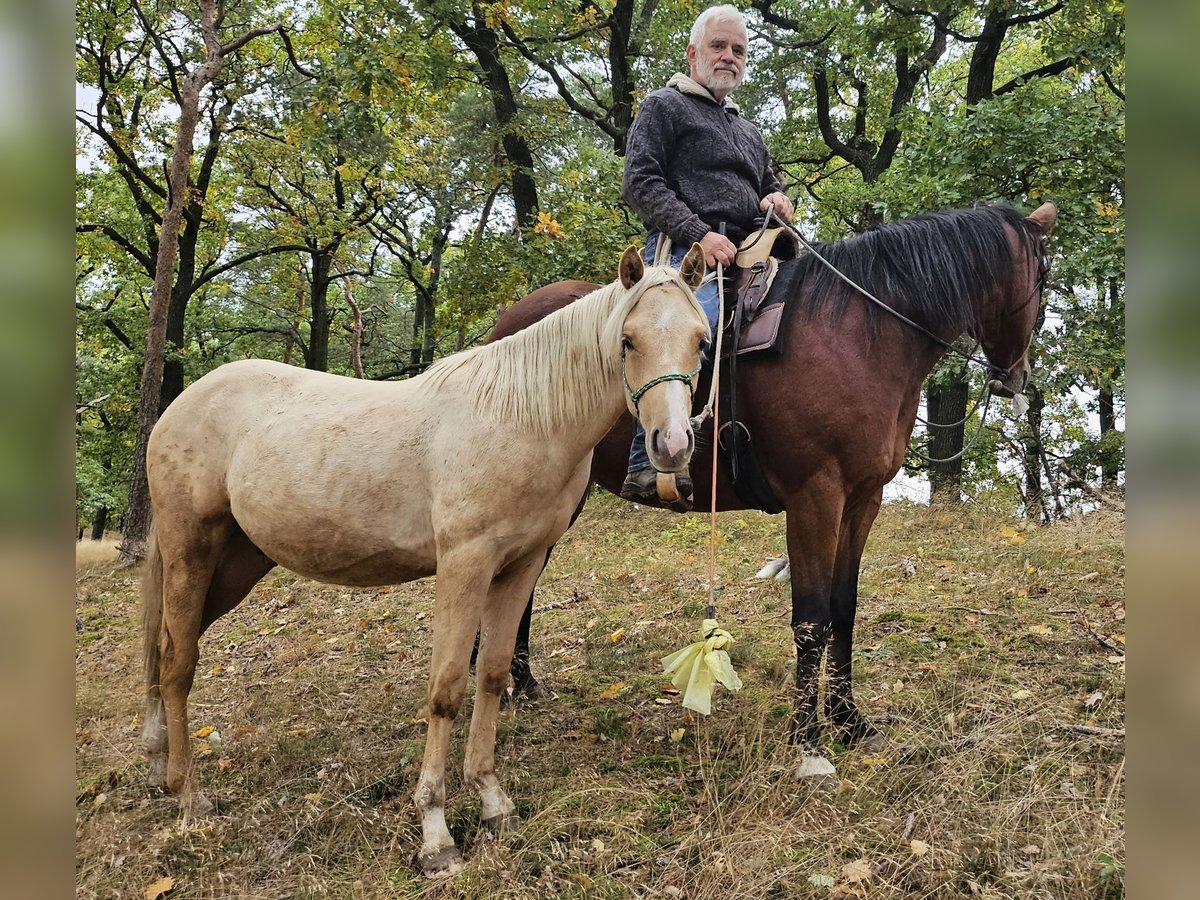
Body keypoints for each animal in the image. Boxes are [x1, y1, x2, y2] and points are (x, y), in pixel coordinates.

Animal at [139, 245, 710, 877]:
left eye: (702, 341)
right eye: (628, 340)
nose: (672, 446)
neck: (519, 418)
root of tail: (180, 406)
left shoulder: (520, 566)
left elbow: (491, 676)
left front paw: (492, 804)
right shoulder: (464, 564)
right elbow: (446, 689)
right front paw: (436, 834)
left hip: (236, 565)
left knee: (163, 651)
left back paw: (159, 765)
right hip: (191, 550)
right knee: (178, 662)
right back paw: (189, 797)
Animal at [491, 202, 1056, 784]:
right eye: (1043, 278)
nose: (1016, 377)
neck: (861, 336)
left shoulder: (862, 501)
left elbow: (843, 609)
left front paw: (849, 722)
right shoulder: (815, 498)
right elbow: (811, 619)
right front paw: (808, 743)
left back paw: (521, 683)